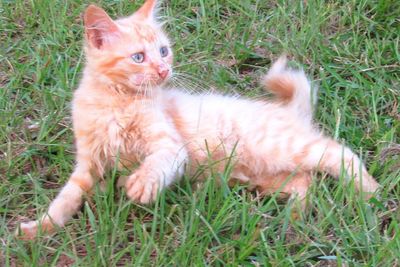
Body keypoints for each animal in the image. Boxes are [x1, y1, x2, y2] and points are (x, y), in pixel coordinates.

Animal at [18, 0, 378, 239]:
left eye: (163, 51)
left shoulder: (170, 146)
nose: (164, 70)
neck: (116, 103)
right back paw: (293, 217)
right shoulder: (89, 163)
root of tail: (288, 110)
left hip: (283, 147)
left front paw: (141, 183)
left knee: (340, 154)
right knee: (305, 182)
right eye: (139, 57)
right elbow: (66, 198)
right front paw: (39, 228)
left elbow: (157, 162)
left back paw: (370, 192)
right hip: (267, 173)